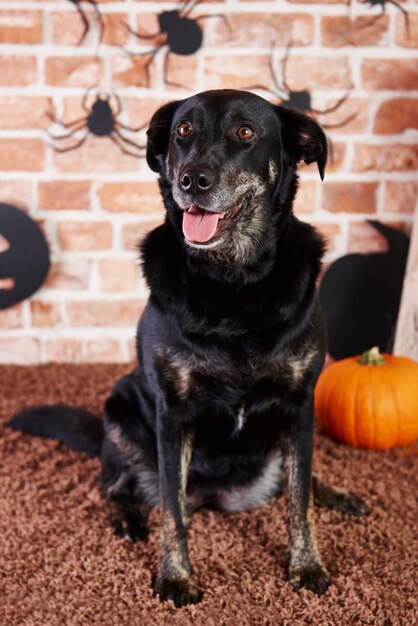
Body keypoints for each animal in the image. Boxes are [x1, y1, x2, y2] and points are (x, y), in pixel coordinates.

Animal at [10, 88, 366, 604]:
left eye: (245, 132)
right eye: (183, 131)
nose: (191, 180)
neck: (233, 281)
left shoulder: (299, 404)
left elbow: (300, 500)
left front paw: (307, 565)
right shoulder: (173, 414)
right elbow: (172, 509)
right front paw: (175, 576)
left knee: (295, 477)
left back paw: (336, 494)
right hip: (120, 407)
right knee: (117, 483)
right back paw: (127, 517)